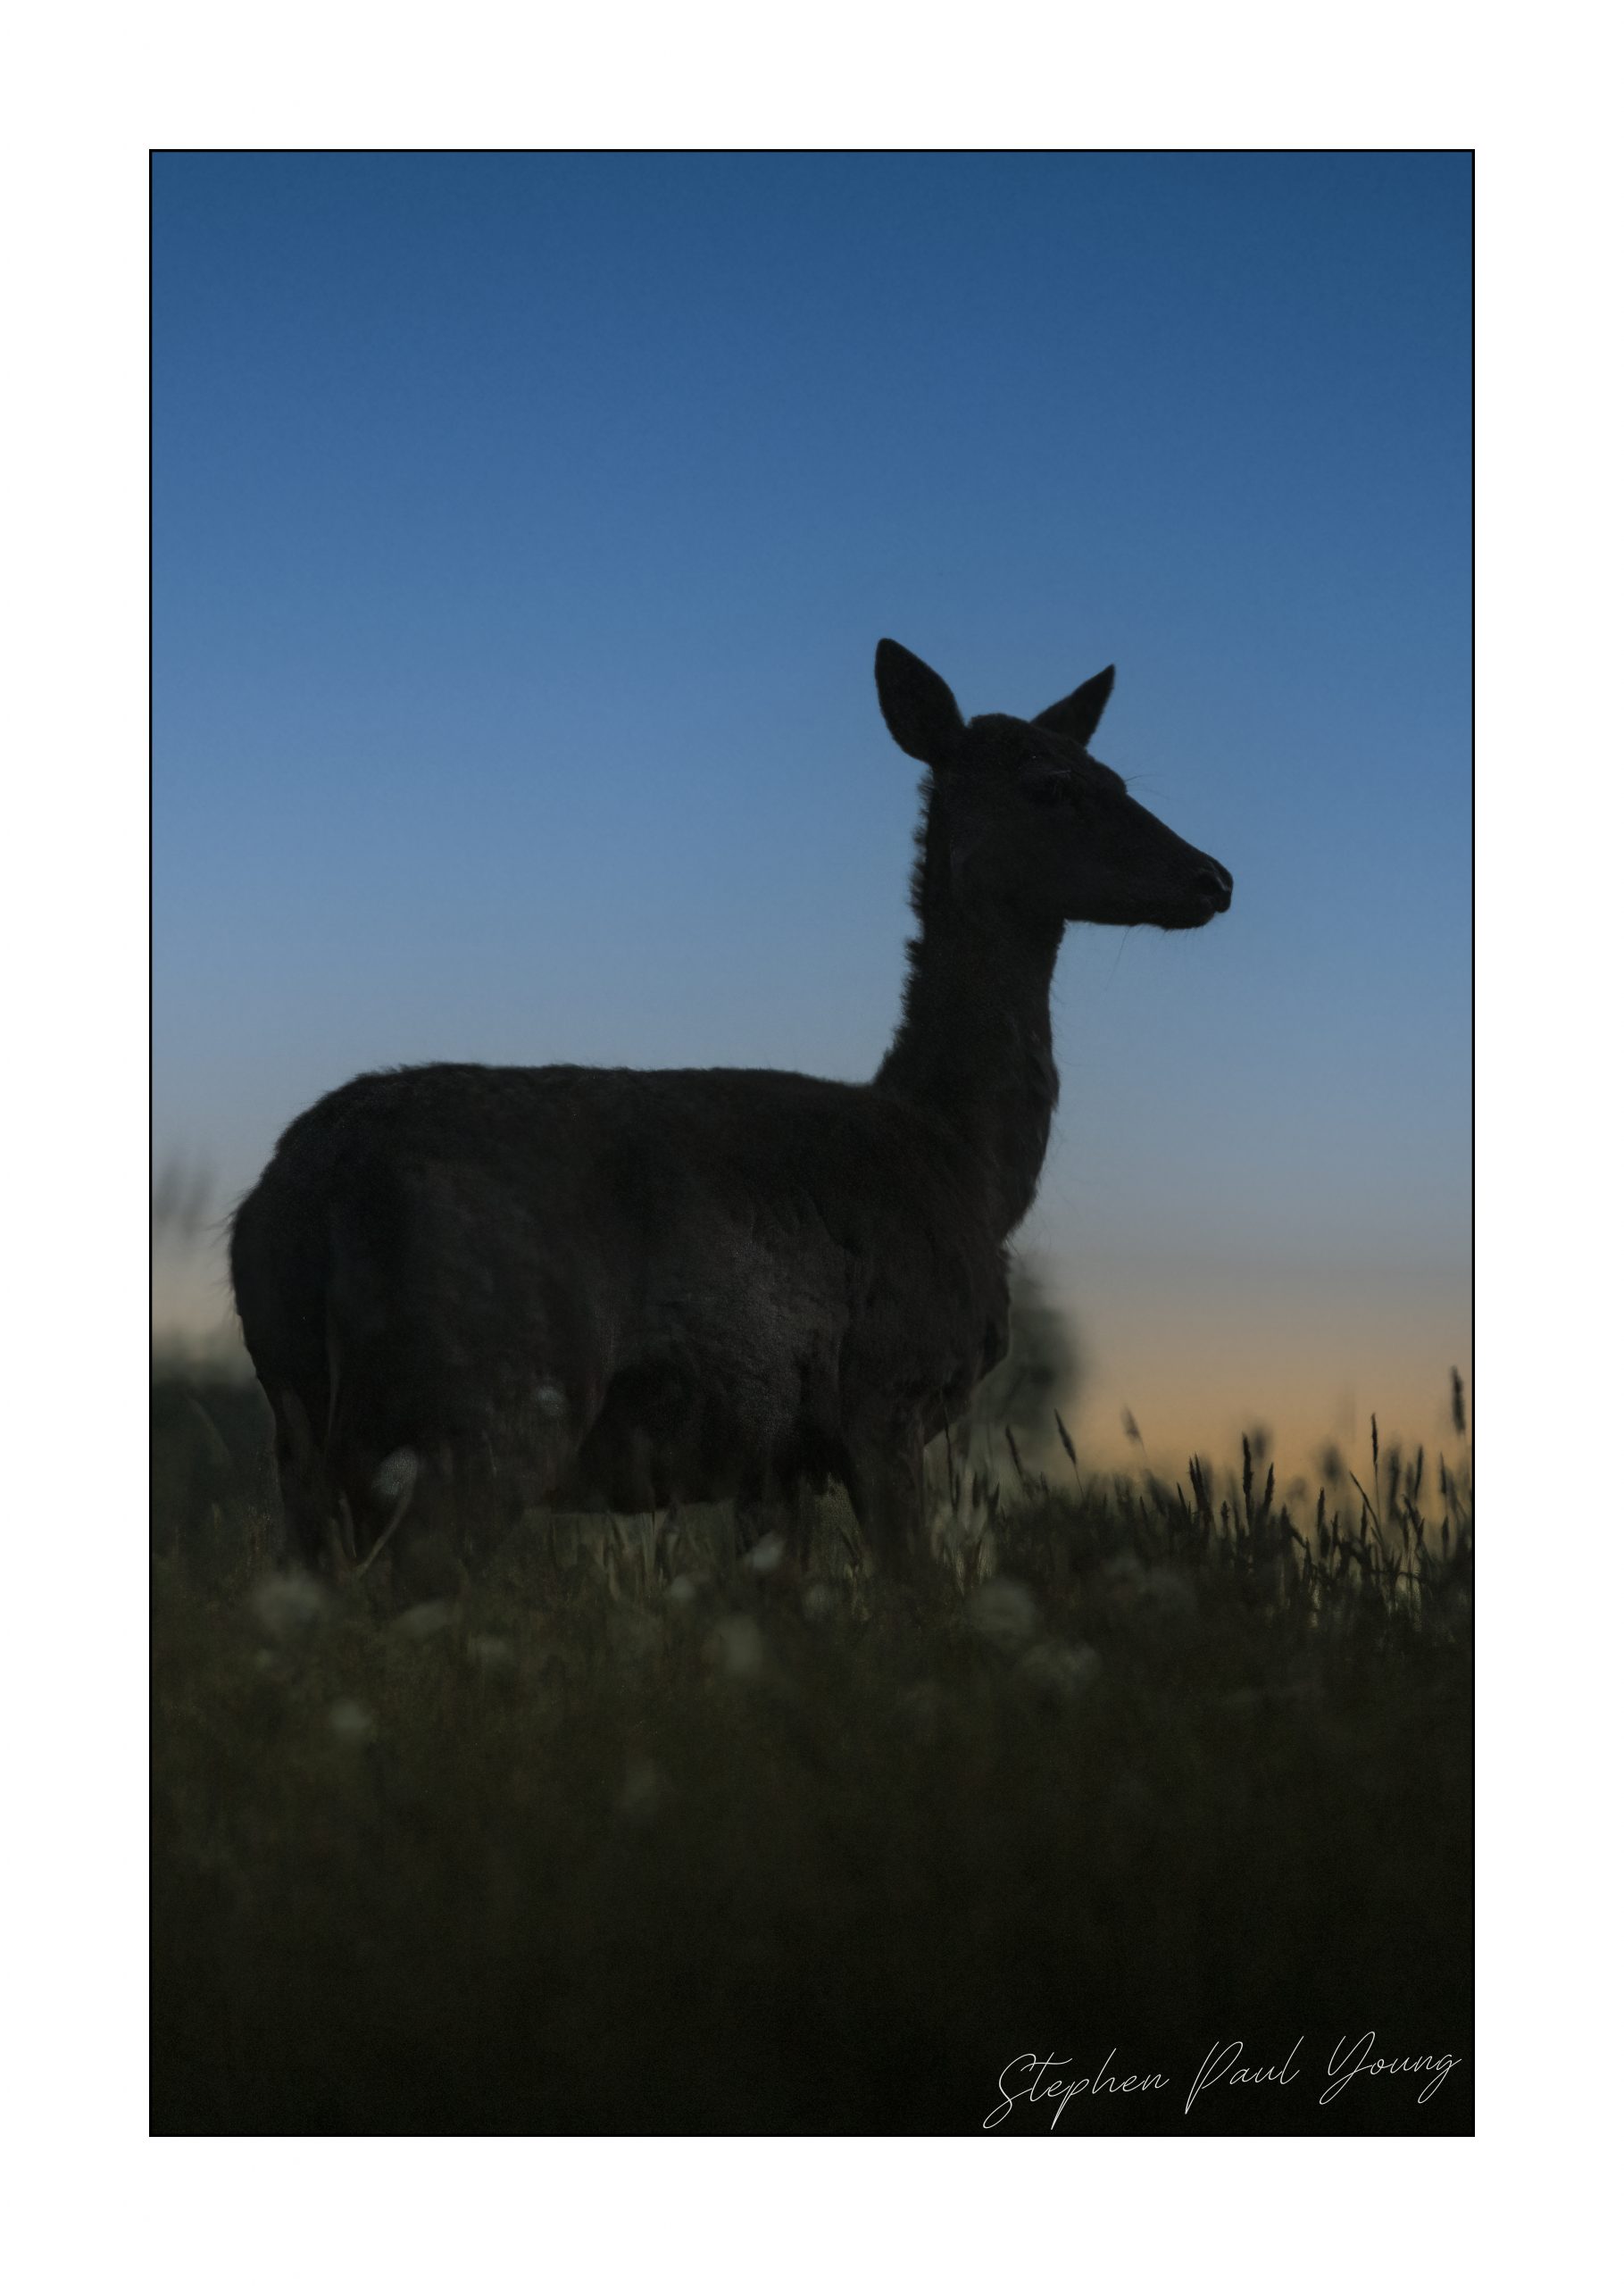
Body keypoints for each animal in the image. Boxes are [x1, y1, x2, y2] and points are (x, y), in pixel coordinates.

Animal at [229, 640, 1232, 1587]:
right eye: (1050, 787)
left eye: (1116, 778)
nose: (1213, 877)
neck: (968, 1162)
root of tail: (309, 1189)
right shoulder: (884, 1390)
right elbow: (912, 1587)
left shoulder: (773, 1458)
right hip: (492, 1390)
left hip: (304, 1430)